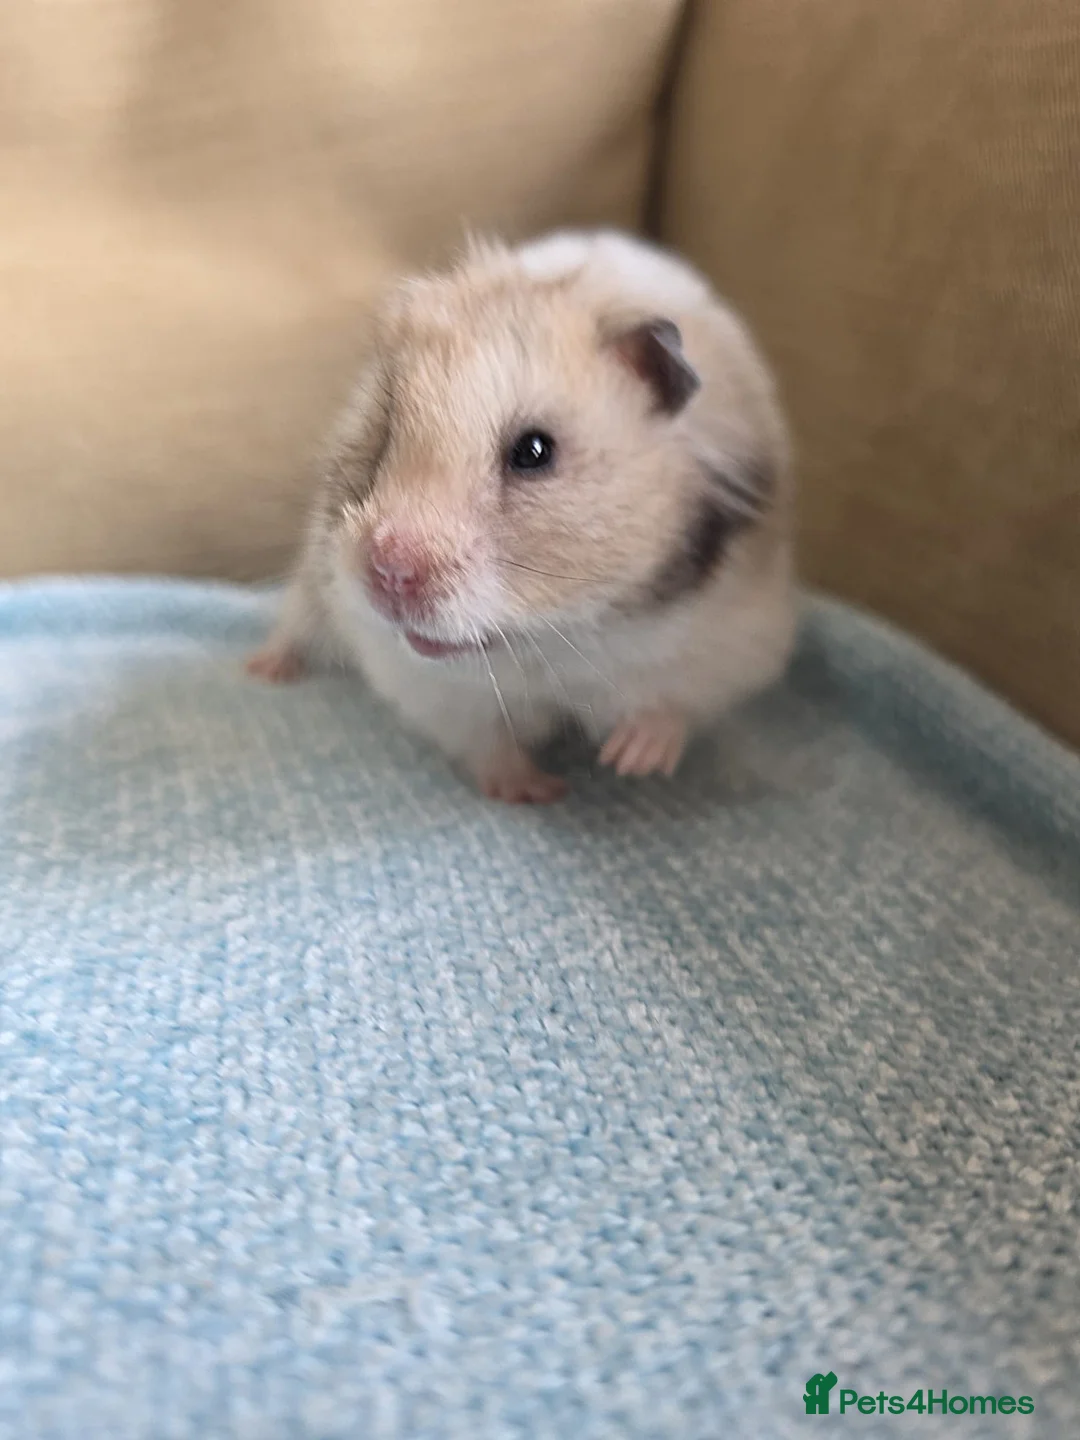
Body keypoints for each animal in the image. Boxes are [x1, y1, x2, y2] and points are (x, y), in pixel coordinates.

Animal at [248, 229, 796, 802]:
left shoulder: (729, 642)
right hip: (316, 573)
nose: (389, 574)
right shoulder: (429, 685)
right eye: (386, 427)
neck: (555, 633)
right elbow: (488, 741)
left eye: (534, 451)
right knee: (297, 621)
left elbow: (670, 707)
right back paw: (264, 670)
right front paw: (539, 791)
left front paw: (631, 762)